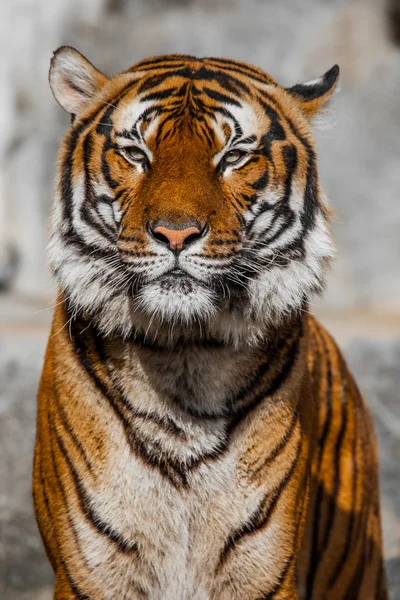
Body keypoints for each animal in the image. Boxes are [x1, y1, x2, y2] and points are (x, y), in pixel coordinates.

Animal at [32, 47, 390, 600]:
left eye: (234, 156)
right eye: (135, 152)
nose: (175, 234)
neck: (184, 353)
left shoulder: (263, 572)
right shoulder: (91, 574)